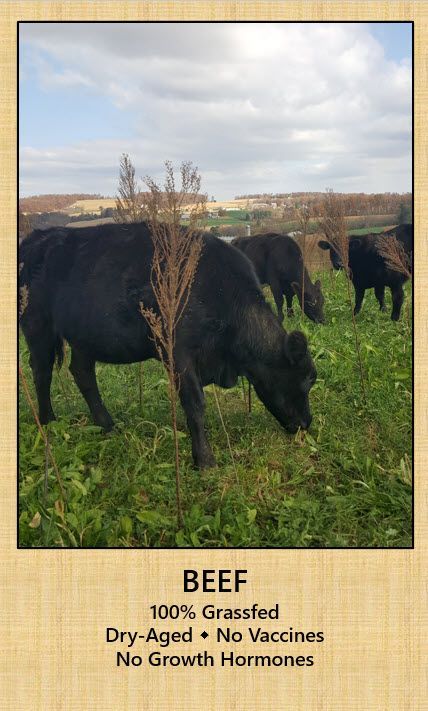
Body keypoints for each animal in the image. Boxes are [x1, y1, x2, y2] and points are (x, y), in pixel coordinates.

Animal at [19, 222, 317, 469]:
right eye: (307, 379)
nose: (306, 423)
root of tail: (38, 237)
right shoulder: (178, 353)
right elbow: (195, 405)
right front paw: (204, 460)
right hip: (37, 326)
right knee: (42, 372)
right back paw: (48, 421)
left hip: (84, 336)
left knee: (82, 373)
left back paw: (107, 425)